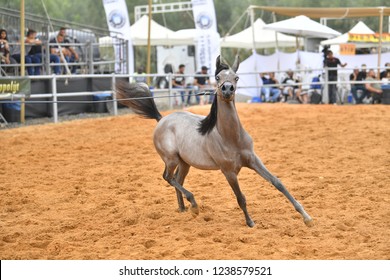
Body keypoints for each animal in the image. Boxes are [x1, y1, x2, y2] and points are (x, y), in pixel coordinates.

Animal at [116, 55, 314, 228]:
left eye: (236, 77)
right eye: (218, 77)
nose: (227, 89)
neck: (231, 137)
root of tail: (161, 119)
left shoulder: (253, 160)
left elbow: (277, 183)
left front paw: (307, 218)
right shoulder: (229, 172)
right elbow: (240, 197)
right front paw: (250, 223)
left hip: (184, 163)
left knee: (176, 179)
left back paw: (183, 208)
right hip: (171, 159)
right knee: (168, 177)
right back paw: (194, 205)